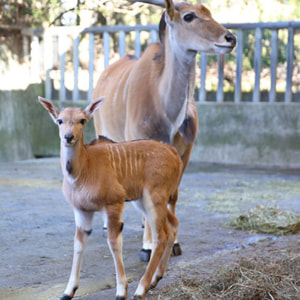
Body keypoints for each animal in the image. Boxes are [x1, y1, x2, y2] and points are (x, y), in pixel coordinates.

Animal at [38, 97, 182, 298]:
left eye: (82, 120)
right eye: (60, 120)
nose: (68, 137)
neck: (83, 171)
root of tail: (175, 155)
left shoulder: (113, 204)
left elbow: (114, 243)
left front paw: (121, 292)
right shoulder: (82, 211)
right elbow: (78, 244)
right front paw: (68, 292)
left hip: (153, 198)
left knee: (160, 235)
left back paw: (141, 289)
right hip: (145, 200)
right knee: (173, 223)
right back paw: (155, 279)